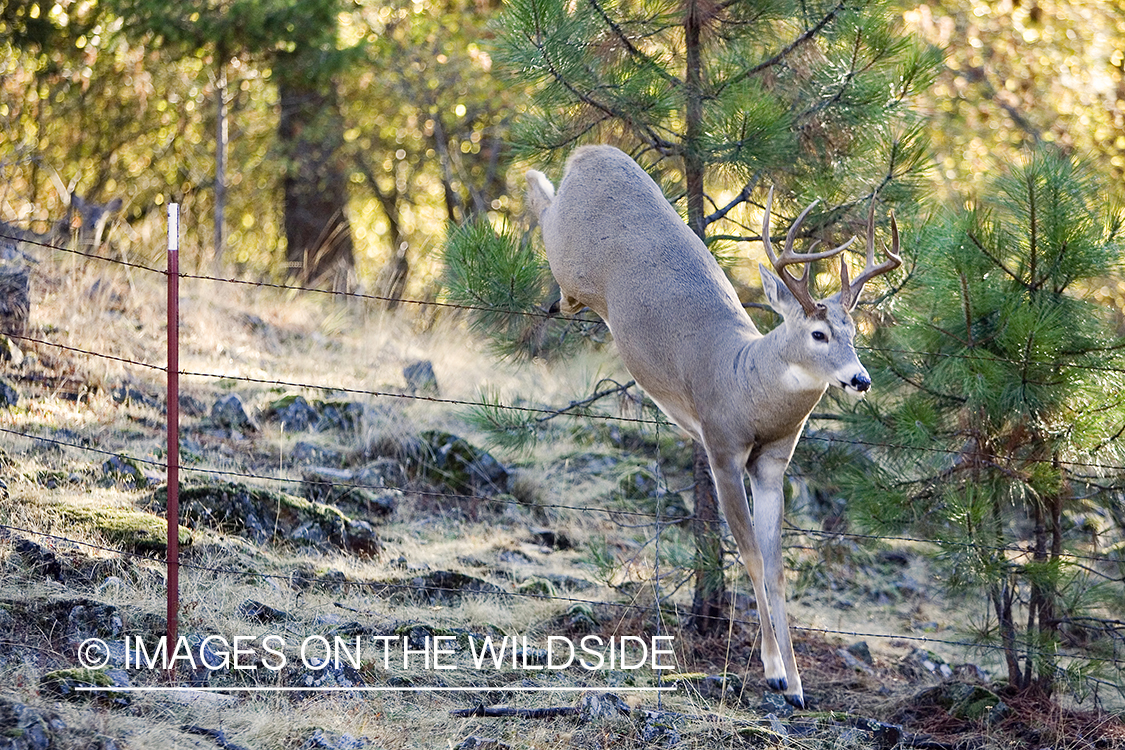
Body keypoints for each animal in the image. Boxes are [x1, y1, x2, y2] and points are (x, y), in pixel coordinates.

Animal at [526, 146, 904, 710]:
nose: (860, 379)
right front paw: (773, 673)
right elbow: (749, 554)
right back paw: (536, 189)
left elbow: (776, 566)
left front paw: (797, 687)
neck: (745, 383)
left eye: (854, 332)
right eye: (818, 333)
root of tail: (589, 153)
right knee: (545, 216)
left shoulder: (772, 463)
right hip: (568, 253)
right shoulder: (722, 448)